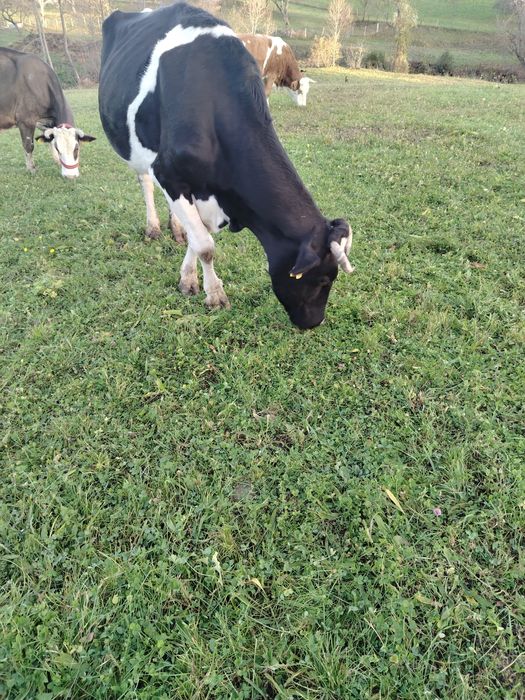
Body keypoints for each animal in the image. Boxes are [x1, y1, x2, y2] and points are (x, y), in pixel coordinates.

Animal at [0, 47, 95, 178]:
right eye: (59, 149)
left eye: (76, 148)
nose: (70, 176)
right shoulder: (25, 120)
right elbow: (28, 145)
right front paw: (32, 169)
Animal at [98, 2, 354, 330]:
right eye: (323, 280)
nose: (315, 323)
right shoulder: (169, 174)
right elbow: (205, 245)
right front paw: (215, 295)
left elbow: (197, 238)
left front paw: (188, 278)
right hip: (136, 149)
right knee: (145, 183)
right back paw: (153, 227)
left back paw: (175, 228)